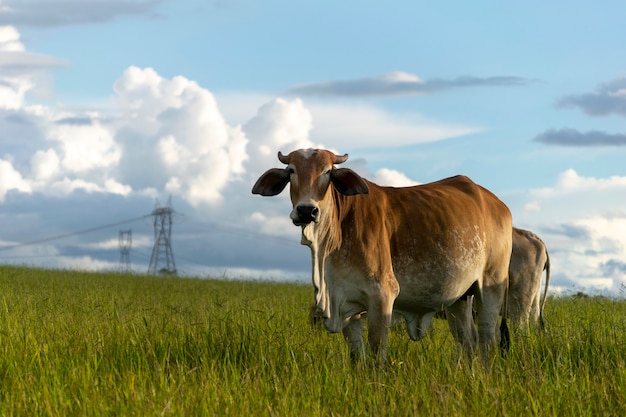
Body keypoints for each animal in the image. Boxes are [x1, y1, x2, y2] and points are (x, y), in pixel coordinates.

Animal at [251, 149, 510, 360]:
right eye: (291, 170)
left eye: (328, 171)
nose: (307, 210)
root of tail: (497, 204)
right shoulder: (347, 304)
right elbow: (357, 357)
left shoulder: (381, 296)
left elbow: (377, 354)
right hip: (459, 298)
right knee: (468, 343)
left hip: (490, 288)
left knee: (487, 341)